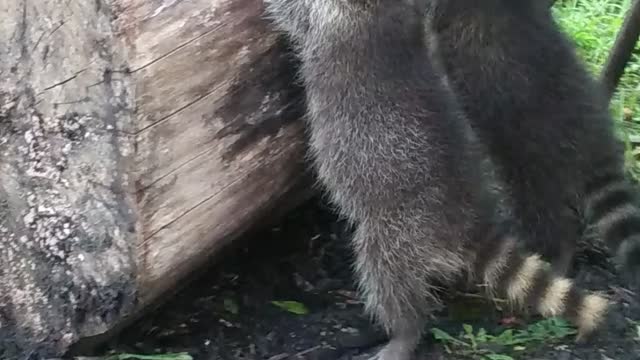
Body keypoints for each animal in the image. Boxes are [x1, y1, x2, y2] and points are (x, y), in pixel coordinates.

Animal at [264, 1, 608, 358]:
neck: (384, 10)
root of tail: (467, 217)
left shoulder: (332, 18)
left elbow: (293, 15)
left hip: (399, 231)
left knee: (387, 275)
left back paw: (404, 331)